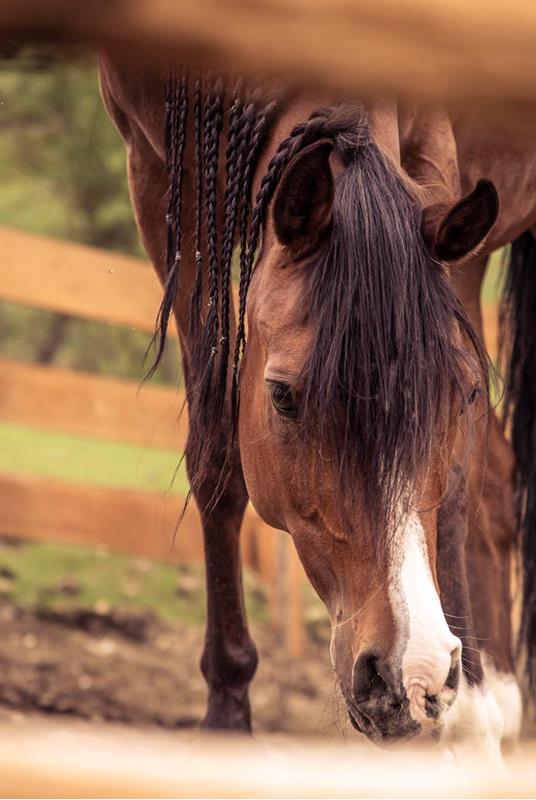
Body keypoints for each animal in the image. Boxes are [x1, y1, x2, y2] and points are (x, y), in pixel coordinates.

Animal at [98, 57, 528, 756]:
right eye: (281, 395)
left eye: (462, 393)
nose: (410, 674)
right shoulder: (164, 176)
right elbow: (216, 459)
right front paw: (227, 712)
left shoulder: (438, 148)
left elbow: (457, 486)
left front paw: (463, 716)